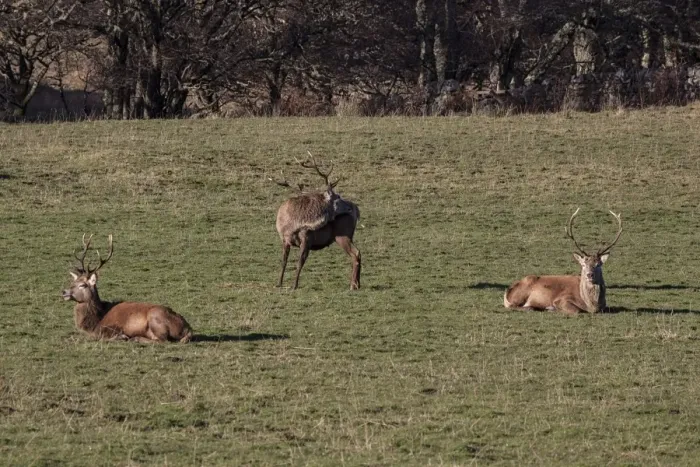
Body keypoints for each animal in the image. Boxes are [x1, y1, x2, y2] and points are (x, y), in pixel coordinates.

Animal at [61, 234, 193, 342]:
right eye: (73, 282)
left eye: (83, 285)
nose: (64, 292)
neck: (96, 321)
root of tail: (188, 329)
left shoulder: (110, 327)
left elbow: (102, 336)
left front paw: (122, 336)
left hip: (155, 316)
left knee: (163, 340)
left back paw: (137, 338)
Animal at [272, 154, 361, 290]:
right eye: (338, 197)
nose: (352, 208)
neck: (291, 225)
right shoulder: (285, 240)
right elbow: (284, 262)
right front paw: (279, 283)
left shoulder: (307, 239)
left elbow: (299, 263)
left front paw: (294, 285)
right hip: (347, 236)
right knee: (357, 253)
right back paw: (357, 284)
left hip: (342, 235)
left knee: (355, 253)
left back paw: (353, 285)